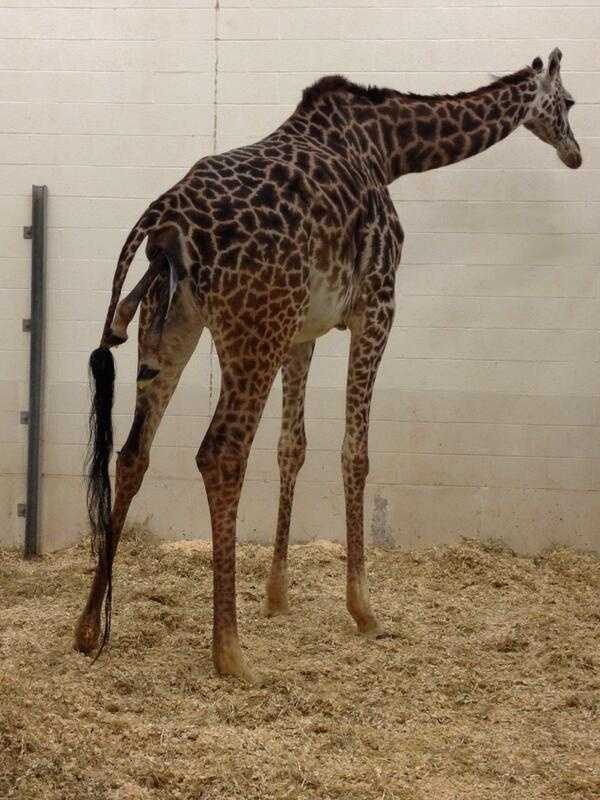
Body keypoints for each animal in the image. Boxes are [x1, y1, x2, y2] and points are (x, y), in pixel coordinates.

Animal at [74, 48, 580, 680]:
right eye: (570, 103)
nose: (575, 154)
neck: (388, 149)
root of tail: (165, 219)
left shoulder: (303, 332)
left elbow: (293, 447)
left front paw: (277, 596)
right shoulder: (377, 307)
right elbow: (354, 453)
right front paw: (364, 610)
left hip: (170, 326)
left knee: (133, 454)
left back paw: (89, 628)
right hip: (253, 328)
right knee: (220, 453)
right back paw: (231, 653)